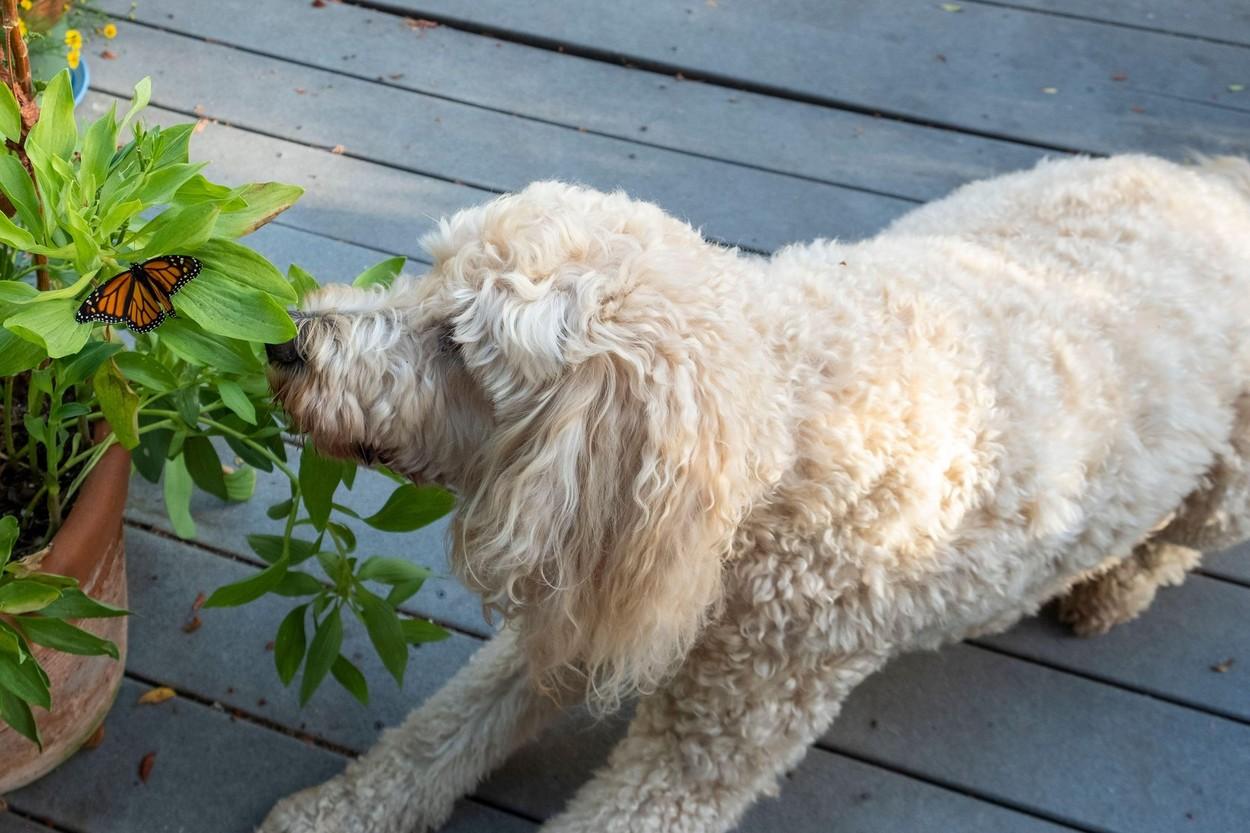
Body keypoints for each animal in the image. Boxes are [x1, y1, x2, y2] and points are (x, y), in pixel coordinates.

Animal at [261, 155, 1250, 830]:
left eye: (457, 346)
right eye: (425, 271)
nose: (287, 343)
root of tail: (1216, 189)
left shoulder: (715, 735)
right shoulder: (586, 602)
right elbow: (439, 734)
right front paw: (334, 813)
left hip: (1228, 483)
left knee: (1182, 535)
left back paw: (1114, 585)